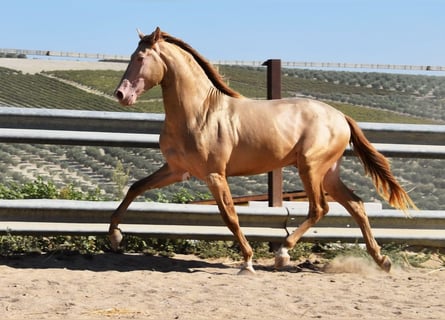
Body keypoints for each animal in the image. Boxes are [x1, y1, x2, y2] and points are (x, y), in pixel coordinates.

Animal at [109, 26, 414, 274]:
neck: (198, 112)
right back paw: (382, 261)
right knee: (356, 205)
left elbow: (230, 216)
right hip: (328, 174)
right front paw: (115, 236)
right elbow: (135, 187)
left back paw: (283, 252)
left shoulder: (214, 175)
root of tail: (340, 117)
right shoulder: (176, 169)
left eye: (140, 58)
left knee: (320, 208)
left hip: (310, 168)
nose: (121, 95)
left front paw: (247, 261)